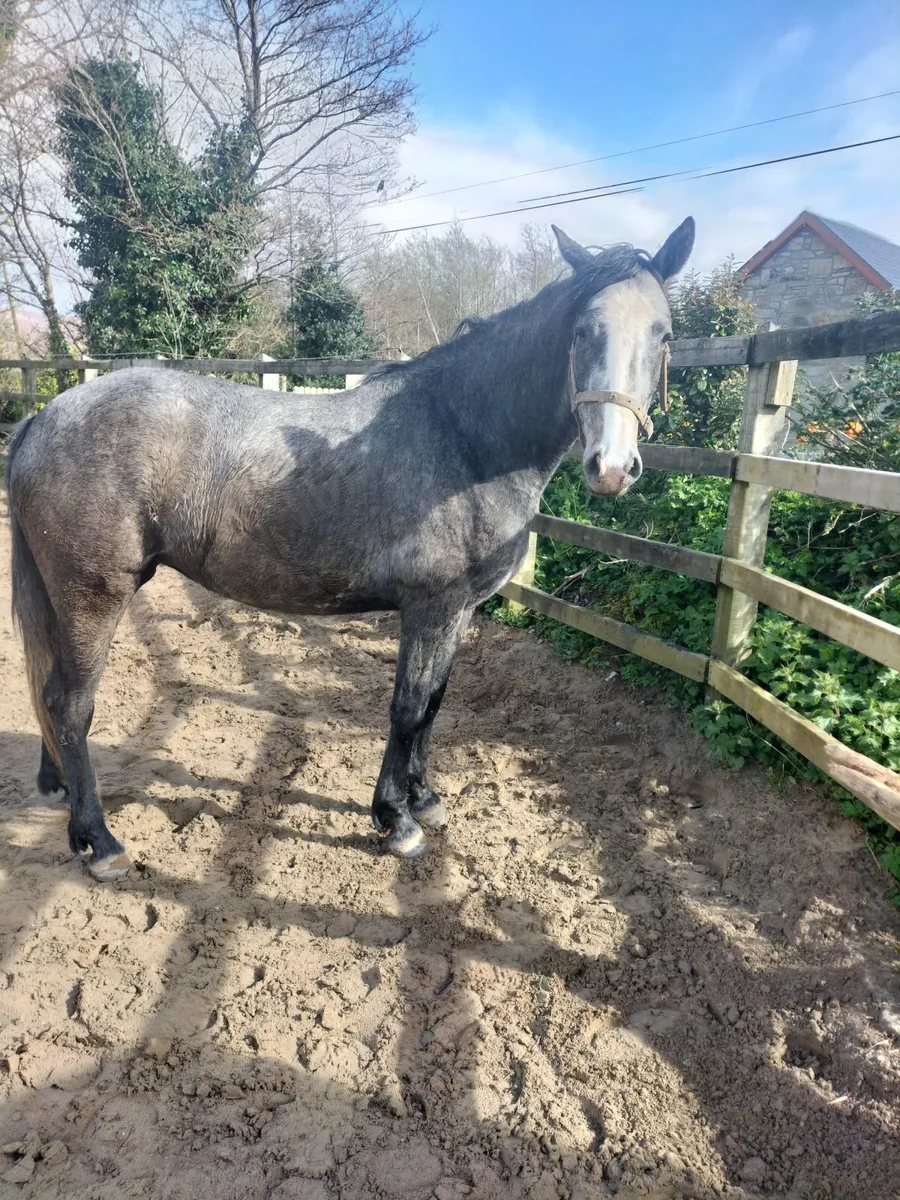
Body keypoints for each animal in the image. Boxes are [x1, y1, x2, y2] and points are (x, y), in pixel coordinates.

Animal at [5, 218, 695, 880]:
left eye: (663, 334)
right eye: (582, 331)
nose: (611, 467)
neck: (464, 436)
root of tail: (43, 418)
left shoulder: (458, 612)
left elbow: (435, 703)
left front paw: (424, 800)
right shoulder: (430, 607)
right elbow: (409, 708)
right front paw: (395, 820)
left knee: (50, 694)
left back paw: (62, 795)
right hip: (94, 594)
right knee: (71, 705)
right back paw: (100, 841)